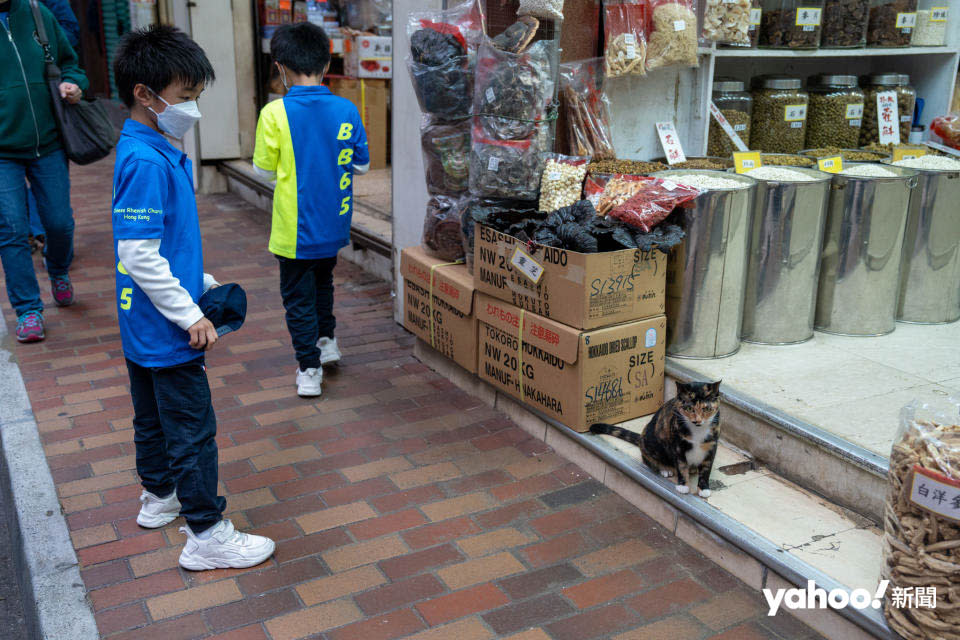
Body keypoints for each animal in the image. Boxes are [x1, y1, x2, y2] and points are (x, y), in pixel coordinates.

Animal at [592, 380, 720, 500]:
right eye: (689, 408)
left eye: (706, 408)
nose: (697, 421)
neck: (697, 431)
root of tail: (641, 437)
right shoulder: (678, 446)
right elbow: (681, 465)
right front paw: (683, 486)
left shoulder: (712, 446)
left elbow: (706, 469)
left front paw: (704, 488)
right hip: (649, 443)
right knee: (647, 459)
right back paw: (664, 469)